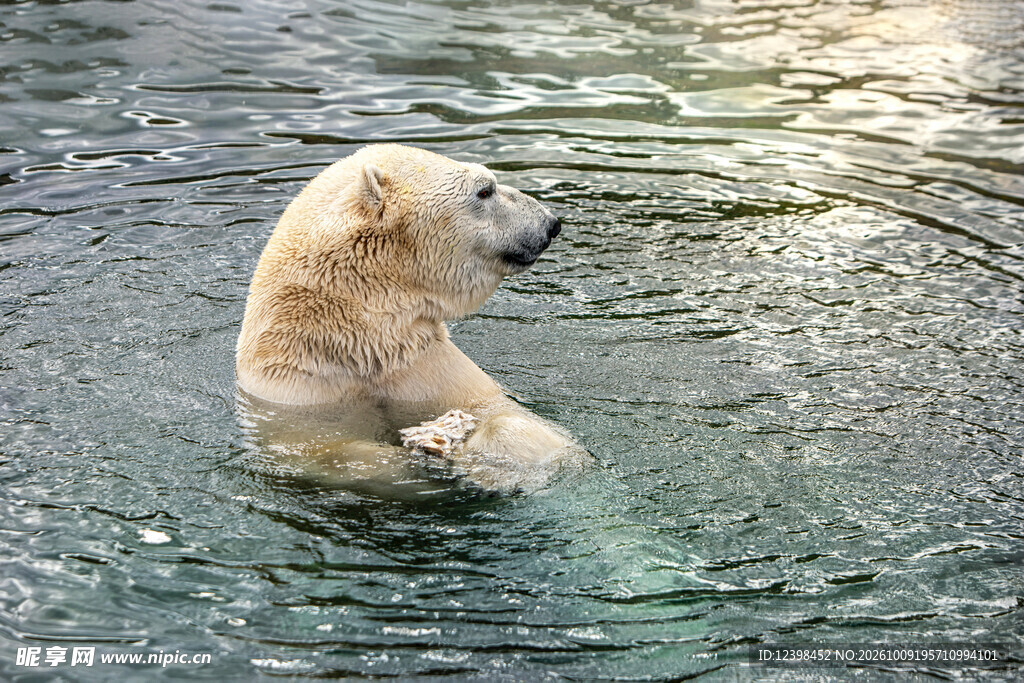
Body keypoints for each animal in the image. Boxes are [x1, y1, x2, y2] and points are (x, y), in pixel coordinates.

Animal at [236, 144, 586, 494]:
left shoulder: (419, 360)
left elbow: (509, 416)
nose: (551, 224)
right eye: (485, 190)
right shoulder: (296, 393)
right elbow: (323, 452)